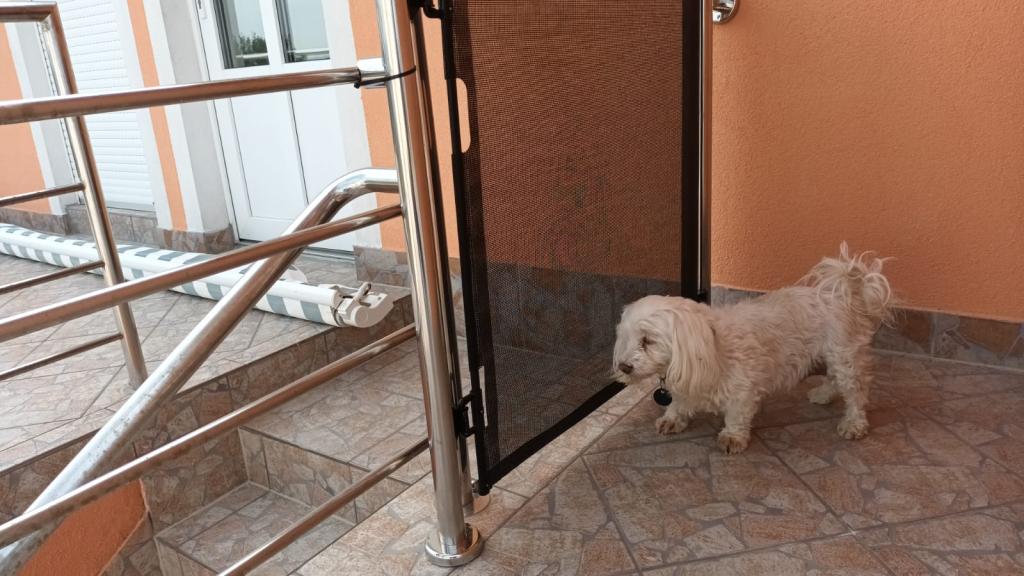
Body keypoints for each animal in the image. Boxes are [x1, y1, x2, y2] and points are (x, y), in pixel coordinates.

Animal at [612, 243, 893, 454]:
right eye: (627, 337)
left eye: (648, 340)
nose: (624, 366)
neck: (708, 347)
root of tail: (846, 295)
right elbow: (680, 401)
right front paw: (672, 417)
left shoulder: (743, 388)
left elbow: (737, 415)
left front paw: (732, 437)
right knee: (834, 379)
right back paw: (823, 394)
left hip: (845, 357)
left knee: (855, 392)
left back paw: (854, 424)